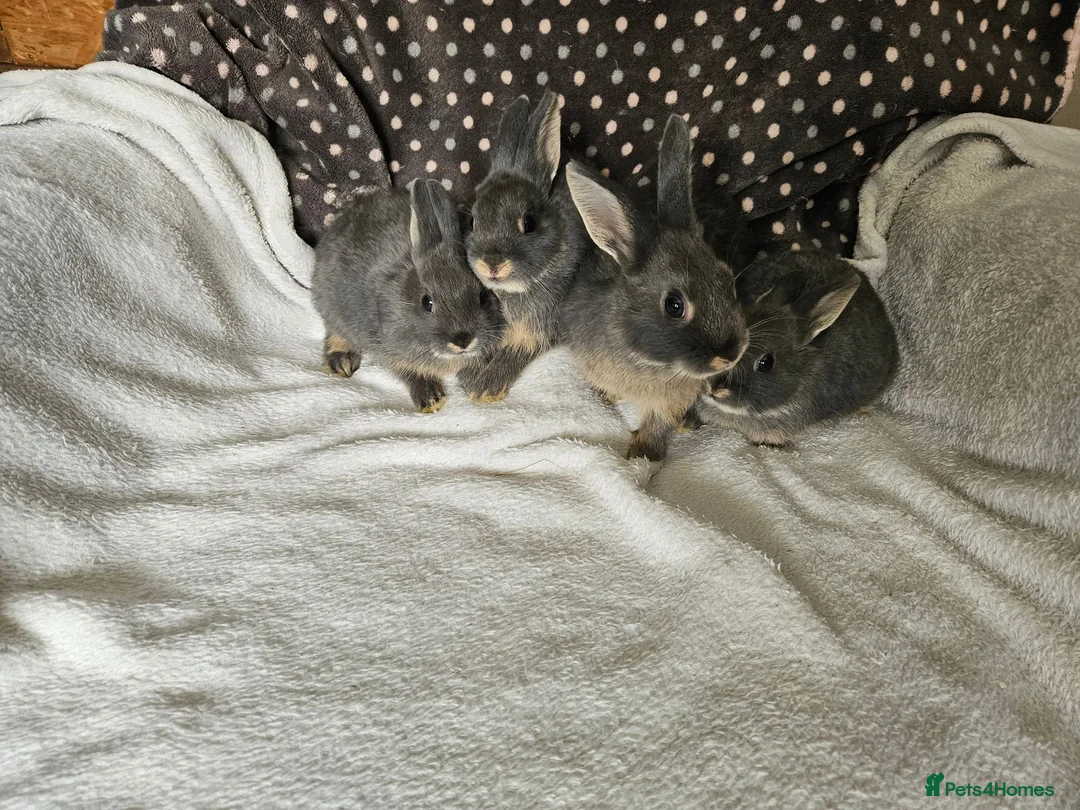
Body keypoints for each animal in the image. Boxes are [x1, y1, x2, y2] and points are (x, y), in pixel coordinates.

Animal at [311, 179, 503, 412]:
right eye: (427, 303)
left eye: (482, 296)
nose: (463, 341)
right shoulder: (390, 349)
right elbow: (410, 372)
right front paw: (431, 400)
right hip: (331, 305)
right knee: (335, 331)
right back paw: (341, 362)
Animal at [460, 90, 589, 403]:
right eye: (473, 221)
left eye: (529, 223)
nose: (491, 264)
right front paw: (469, 376)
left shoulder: (539, 327)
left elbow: (517, 351)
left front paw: (485, 388)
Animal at [560, 114, 749, 462]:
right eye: (674, 305)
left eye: (728, 281)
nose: (730, 355)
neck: (645, 359)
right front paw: (608, 397)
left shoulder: (671, 399)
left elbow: (658, 422)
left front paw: (642, 454)